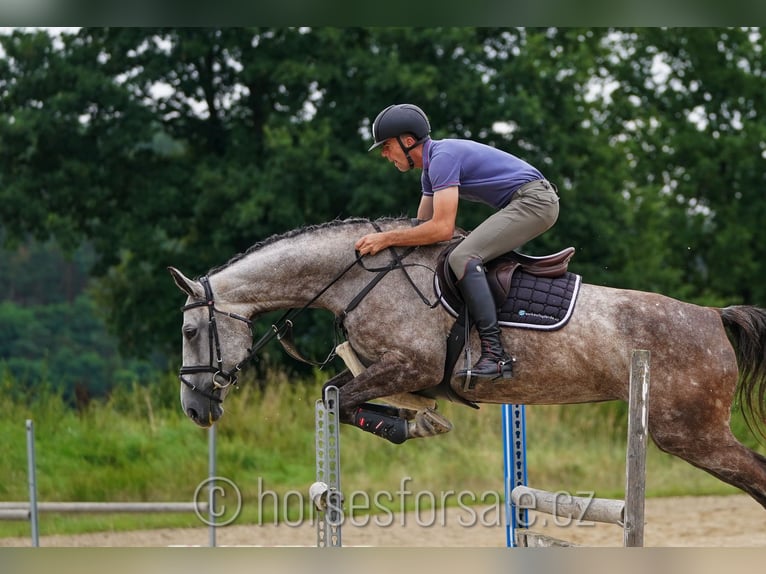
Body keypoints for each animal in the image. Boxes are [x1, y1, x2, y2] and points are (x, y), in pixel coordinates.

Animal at [171, 217, 766, 512]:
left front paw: (413, 424)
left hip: (687, 430)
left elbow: (341, 400)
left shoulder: (409, 366)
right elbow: (335, 397)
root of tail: (714, 317)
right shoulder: (383, 369)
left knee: (756, 473)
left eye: (190, 332)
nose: (195, 410)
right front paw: (416, 420)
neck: (355, 278)